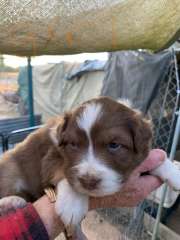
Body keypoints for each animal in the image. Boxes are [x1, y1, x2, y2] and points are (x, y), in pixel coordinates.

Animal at [0, 96, 179, 238]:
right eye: (73, 144)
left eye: (114, 145)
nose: (88, 181)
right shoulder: (50, 156)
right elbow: (64, 170)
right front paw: (73, 203)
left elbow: (153, 156)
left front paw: (173, 173)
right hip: (10, 166)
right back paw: (10, 202)